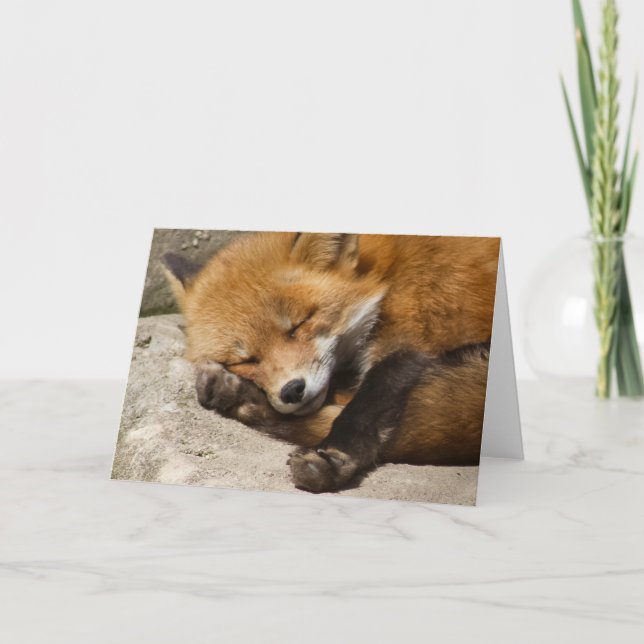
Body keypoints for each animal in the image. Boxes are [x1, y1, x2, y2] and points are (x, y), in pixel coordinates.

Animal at [162, 231, 500, 493]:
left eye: (299, 324)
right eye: (245, 360)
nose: (292, 390)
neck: (385, 276)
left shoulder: (412, 336)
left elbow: (366, 405)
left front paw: (334, 458)